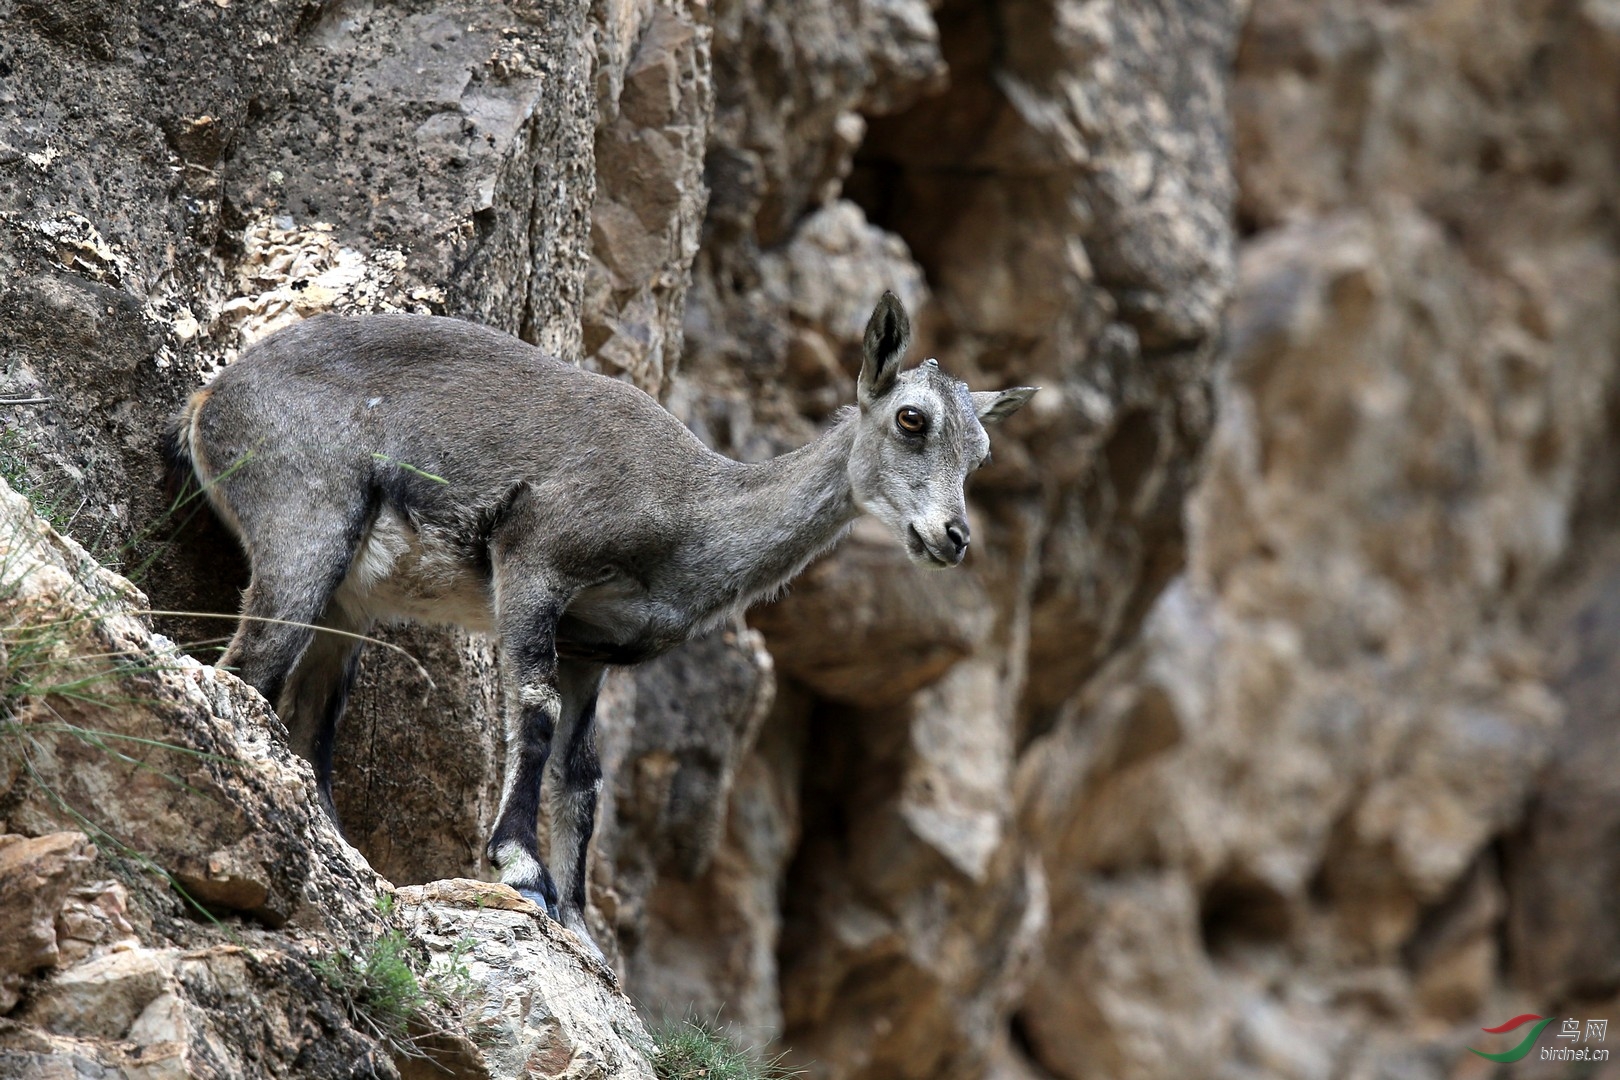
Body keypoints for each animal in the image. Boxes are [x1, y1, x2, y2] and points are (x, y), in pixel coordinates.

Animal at [167, 293, 1036, 952]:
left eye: (982, 452)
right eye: (912, 420)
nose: (952, 537)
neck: (691, 513)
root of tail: (211, 400)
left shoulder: (594, 648)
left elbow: (583, 774)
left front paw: (580, 922)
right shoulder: (535, 562)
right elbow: (534, 712)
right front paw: (521, 870)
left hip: (347, 605)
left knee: (310, 711)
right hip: (304, 527)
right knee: (248, 665)